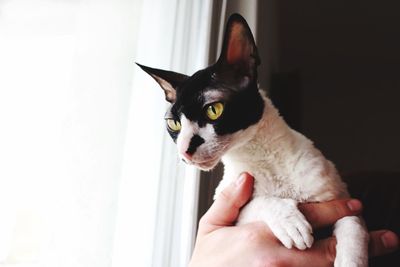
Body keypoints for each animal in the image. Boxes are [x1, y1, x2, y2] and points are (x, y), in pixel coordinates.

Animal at [138, 13, 368, 267]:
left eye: (214, 110)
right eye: (174, 124)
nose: (184, 150)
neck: (262, 159)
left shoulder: (340, 199)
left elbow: (353, 225)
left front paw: (350, 260)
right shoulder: (233, 211)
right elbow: (255, 203)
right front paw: (289, 221)